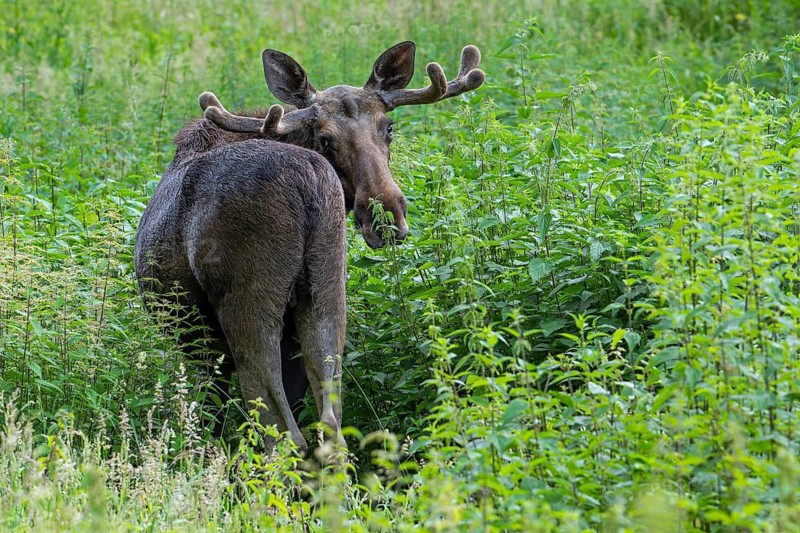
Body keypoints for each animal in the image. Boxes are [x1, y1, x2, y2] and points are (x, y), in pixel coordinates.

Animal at [134, 41, 485, 453]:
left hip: (247, 302)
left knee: (284, 431)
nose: (386, 214)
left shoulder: (200, 344)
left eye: (389, 128)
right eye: (325, 138)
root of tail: (308, 185)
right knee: (330, 425)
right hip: (326, 288)